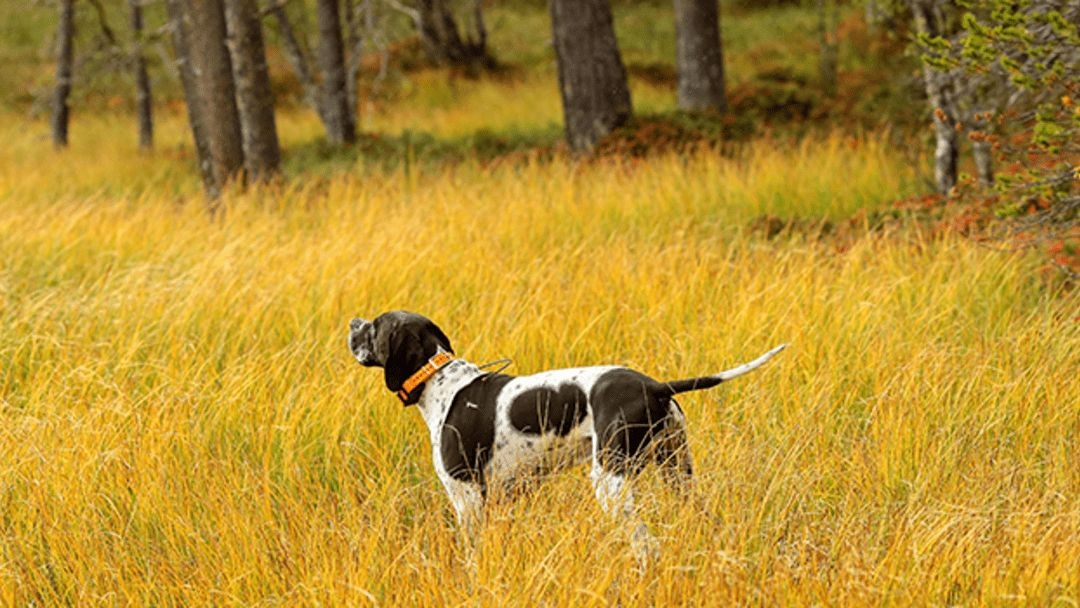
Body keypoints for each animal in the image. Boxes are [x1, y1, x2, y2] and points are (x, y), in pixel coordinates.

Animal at [349, 311, 781, 548]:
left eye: (375, 325)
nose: (353, 322)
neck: (441, 381)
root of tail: (656, 386)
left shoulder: (466, 497)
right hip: (678, 473)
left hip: (611, 481)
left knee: (646, 544)